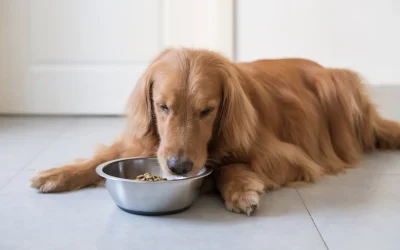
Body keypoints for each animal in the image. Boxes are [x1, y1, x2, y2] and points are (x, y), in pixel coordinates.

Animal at [30, 48, 400, 215]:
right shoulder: (145, 141)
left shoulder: (289, 157)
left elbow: (226, 167)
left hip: (339, 92)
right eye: (163, 107)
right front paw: (57, 174)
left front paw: (240, 190)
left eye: (206, 111)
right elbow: (104, 156)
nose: (178, 167)